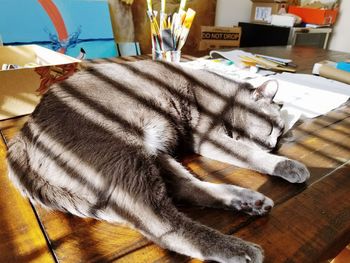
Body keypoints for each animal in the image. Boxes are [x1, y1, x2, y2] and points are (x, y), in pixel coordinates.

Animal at [6, 60, 308, 263]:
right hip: (122, 154)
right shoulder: (209, 138)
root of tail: (22, 137)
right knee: (158, 222)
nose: (273, 145)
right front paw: (286, 164)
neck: (227, 95)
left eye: (280, 136)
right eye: (271, 128)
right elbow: (249, 153)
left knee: (186, 188)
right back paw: (239, 249)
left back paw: (248, 202)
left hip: (153, 151)